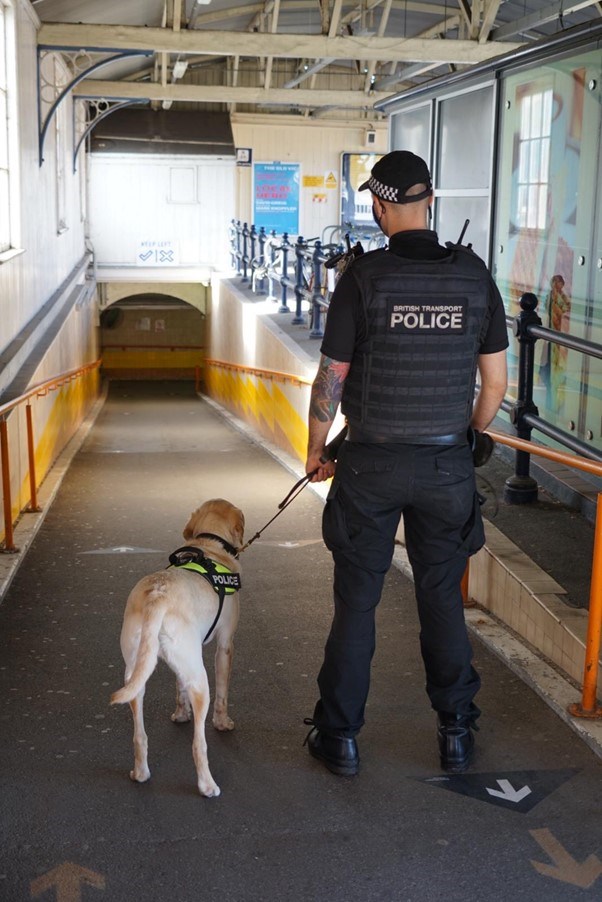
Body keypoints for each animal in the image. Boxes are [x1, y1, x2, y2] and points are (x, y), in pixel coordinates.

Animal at [110, 502, 244, 800]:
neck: (208, 544)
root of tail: (157, 594)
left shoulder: (181, 666)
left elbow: (178, 688)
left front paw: (181, 714)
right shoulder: (225, 646)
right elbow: (224, 693)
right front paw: (223, 722)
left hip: (136, 673)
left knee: (140, 735)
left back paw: (141, 773)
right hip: (200, 680)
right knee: (198, 743)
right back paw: (207, 786)